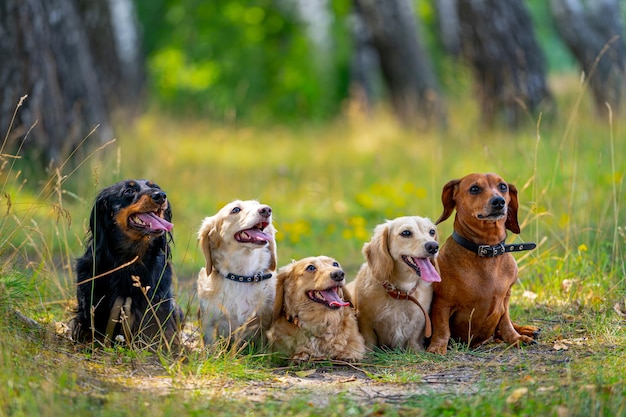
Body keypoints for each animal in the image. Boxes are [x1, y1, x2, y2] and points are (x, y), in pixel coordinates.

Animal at [346, 216, 438, 350]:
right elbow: (369, 340)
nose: (434, 246)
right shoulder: (365, 321)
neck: (401, 292)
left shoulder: (419, 322)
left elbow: (413, 339)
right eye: (406, 233)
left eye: (432, 231)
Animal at [426, 173, 540, 354]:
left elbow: (506, 322)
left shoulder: (505, 299)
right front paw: (437, 346)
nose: (499, 201)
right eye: (474, 188)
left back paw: (526, 329)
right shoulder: (442, 303)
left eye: (503, 186)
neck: (488, 250)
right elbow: (442, 329)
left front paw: (516, 338)